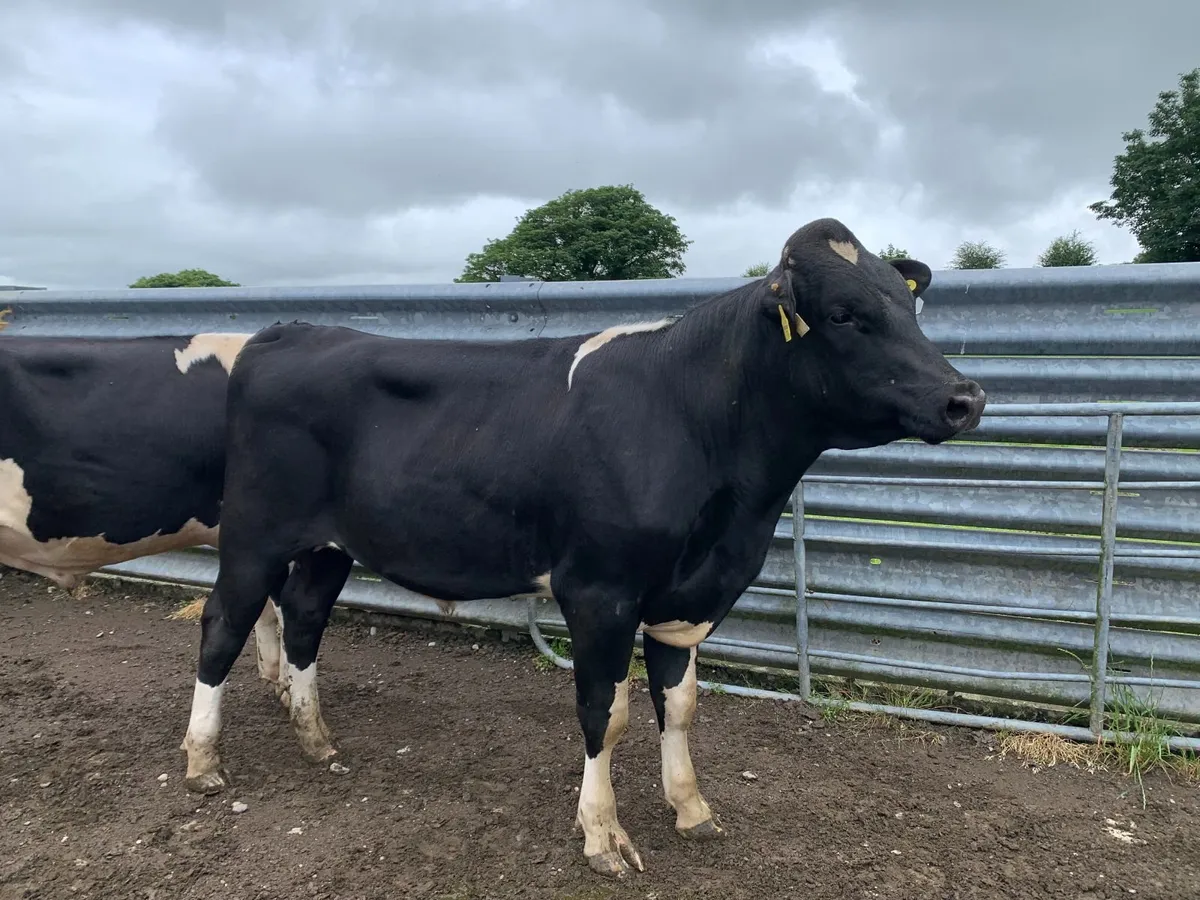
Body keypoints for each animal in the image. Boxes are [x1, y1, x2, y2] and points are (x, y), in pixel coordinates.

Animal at [179, 218, 987, 878]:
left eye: (908, 304)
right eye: (845, 314)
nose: (965, 398)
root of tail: (288, 331)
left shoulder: (687, 596)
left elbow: (680, 705)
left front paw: (691, 808)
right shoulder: (600, 591)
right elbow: (607, 711)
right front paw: (603, 834)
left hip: (328, 547)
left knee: (305, 621)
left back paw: (316, 739)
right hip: (253, 534)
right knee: (223, 625)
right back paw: (203, 760)